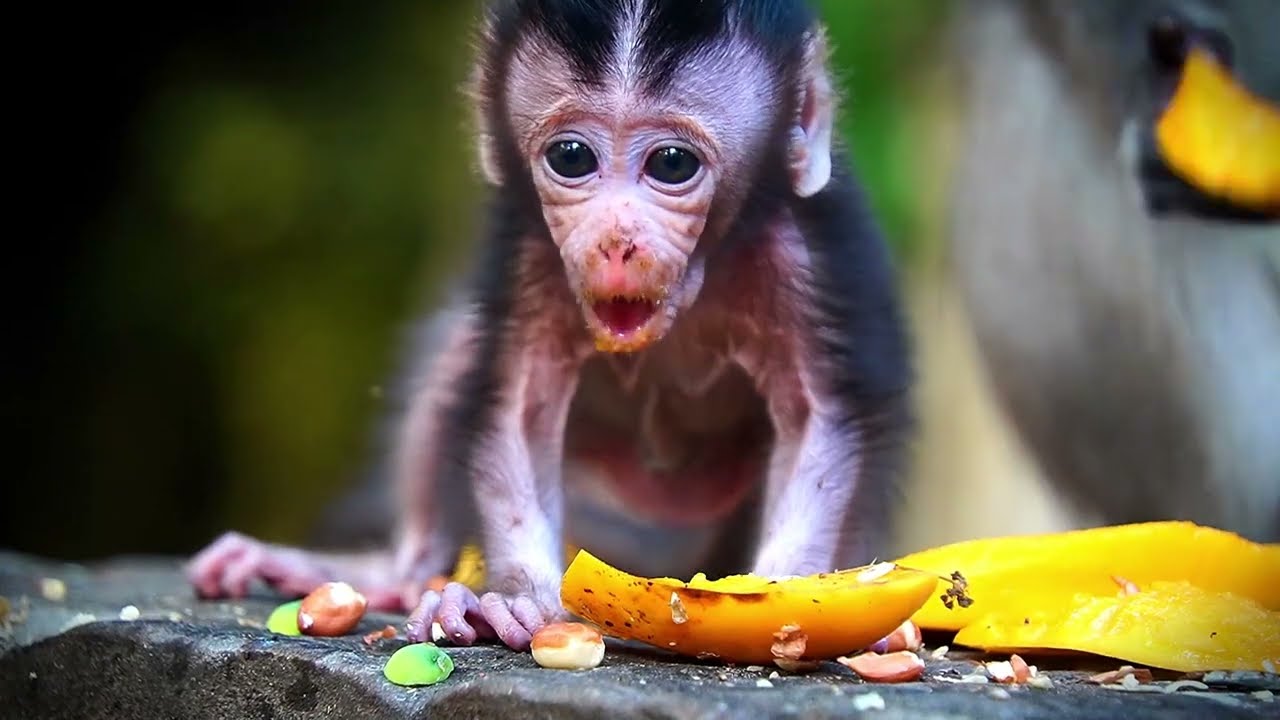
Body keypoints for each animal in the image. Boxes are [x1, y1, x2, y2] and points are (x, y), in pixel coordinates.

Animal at [187, 0, 913, 652]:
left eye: (672, 164)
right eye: (571, 157)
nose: (617, 242)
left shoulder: (804, 258)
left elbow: (823, 421)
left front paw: (788, 602)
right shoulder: (532, 252)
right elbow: (518, 406)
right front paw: (515, 601)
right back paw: (392, 572)